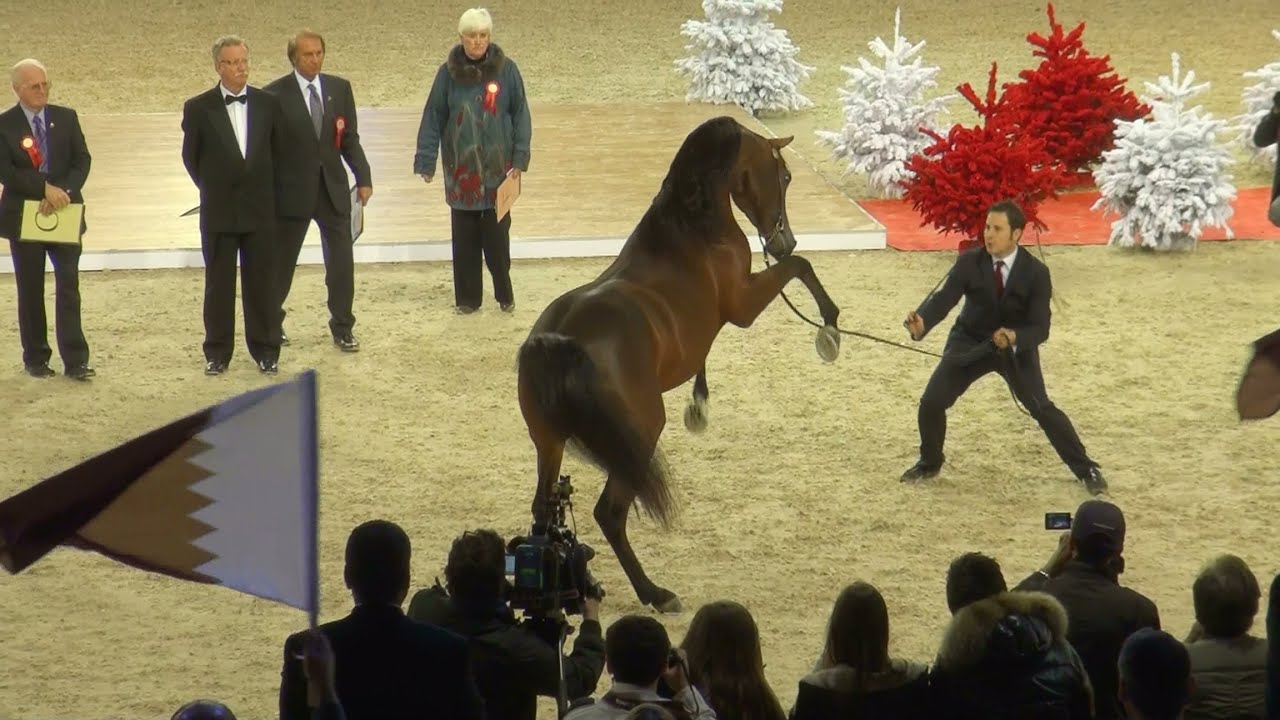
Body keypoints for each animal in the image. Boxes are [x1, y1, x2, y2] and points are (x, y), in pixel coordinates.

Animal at [515, 116, 842, 613]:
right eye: (785, 176)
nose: (784, 240)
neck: (691, 228)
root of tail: (559, 339)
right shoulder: (743, 306)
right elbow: (801, 269)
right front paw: (830, 324)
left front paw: (700, 403)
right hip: (641, 432)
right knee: (609, 513)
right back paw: (656, 594)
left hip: (549, 442)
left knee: (544, 511)